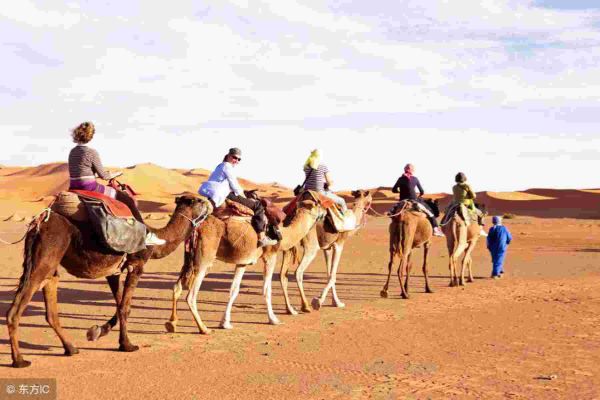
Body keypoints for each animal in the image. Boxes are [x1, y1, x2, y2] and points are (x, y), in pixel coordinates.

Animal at [5, 195, 209, 368]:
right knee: (18, 306)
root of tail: (38, 223)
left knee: (50, 300)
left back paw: (70, 348)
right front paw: (127, 345)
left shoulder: (113, 271)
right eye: (199, 200)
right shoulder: (136, 266)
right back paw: (19, 360)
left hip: (49, 263)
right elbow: (125, 307)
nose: (210, 204)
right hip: (46, 256)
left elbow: (119, 305)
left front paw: (97, 331)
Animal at [165, 198, 324, 332]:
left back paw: (172, 323)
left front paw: (225, 323)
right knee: (191, 295)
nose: (324, 212)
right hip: (204, 260)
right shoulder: (270, 255)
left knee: (177, 287)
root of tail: (196, 227)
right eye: (318, 204)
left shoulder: (242, 263)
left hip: (189, 259)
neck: (284, 233)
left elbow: (234, 290)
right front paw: (273, 319)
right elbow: (267, 289)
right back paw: (203, 328)